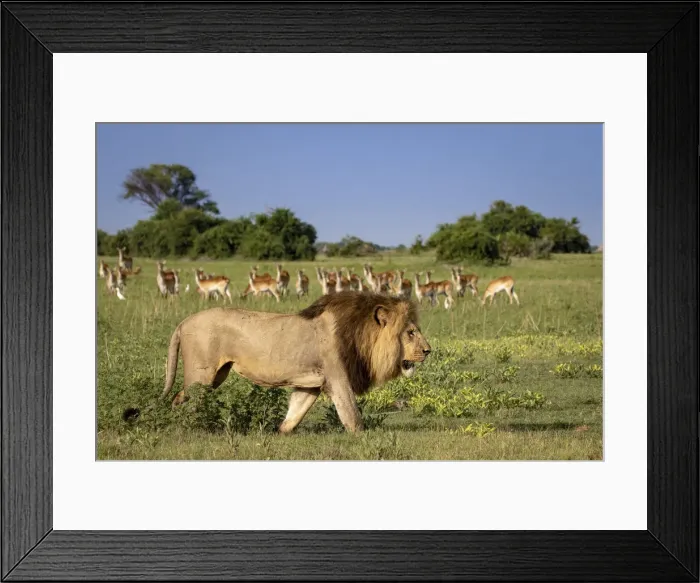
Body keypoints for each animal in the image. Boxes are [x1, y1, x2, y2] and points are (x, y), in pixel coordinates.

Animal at [160, 290, 431, 433]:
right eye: (410, 333)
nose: (428, 351)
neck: (360, 334)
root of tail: (183, 322)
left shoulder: (310, 384)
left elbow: (295, 414)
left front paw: (278, 433)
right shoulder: (338, 378)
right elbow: (353, 416)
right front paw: (364, 437)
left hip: (216, 375)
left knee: (180, 398)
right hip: (202, 375)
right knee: (185, 400)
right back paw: (189, 426)